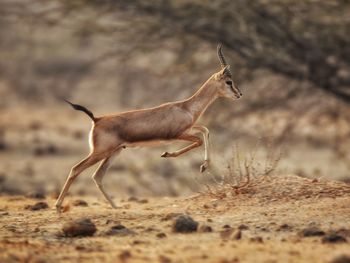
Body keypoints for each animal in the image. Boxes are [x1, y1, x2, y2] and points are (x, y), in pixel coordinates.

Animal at [55, 44, 241, 214]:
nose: (239, 94)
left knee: (97, 176)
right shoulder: (177, 134)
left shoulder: (189, 129)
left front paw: (203, 166)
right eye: (229, 81)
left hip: (114, 152)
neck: (186, 107)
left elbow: (205, 130)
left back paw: (116, 207)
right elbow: (199, 139)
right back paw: (58, 207)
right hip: (100, 152)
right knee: (76, 169)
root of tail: (97, 119)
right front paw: (168, 155)